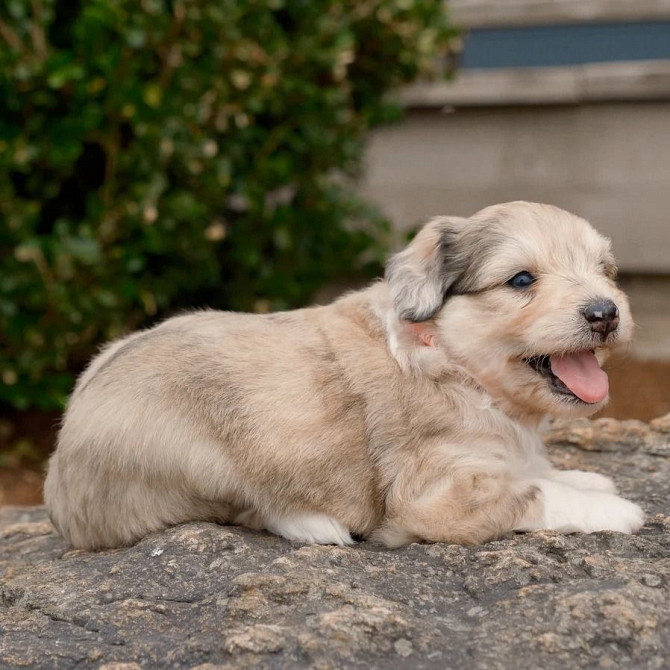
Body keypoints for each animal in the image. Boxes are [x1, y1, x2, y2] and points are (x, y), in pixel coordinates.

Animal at [44, 201, 648, 552]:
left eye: (606, 272)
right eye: (522, 280)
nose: (605, 312)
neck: (454, 365)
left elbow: (537, 471)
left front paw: (584, 476)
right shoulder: (436, 494)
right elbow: (532, 493)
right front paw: (614, 508)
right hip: (212, 462)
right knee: (250, 509)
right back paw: (317, 526)